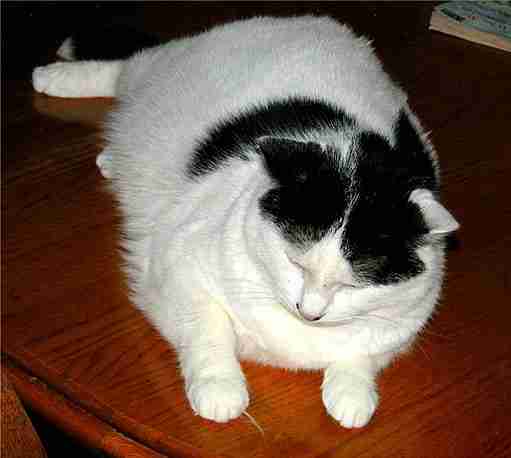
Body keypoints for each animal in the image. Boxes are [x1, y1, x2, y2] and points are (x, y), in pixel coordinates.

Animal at [34, 15, 462, 430]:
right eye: (295, 262)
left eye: (351, 285)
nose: (309, 312)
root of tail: (316, 24)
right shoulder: (179, 266)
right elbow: (209, 329)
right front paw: (219, 389)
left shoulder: (398, 328)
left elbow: (361, 355)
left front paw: (352, 395)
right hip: (158, 73)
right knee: (128, 63)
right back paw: (54, 77)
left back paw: (108, 158)